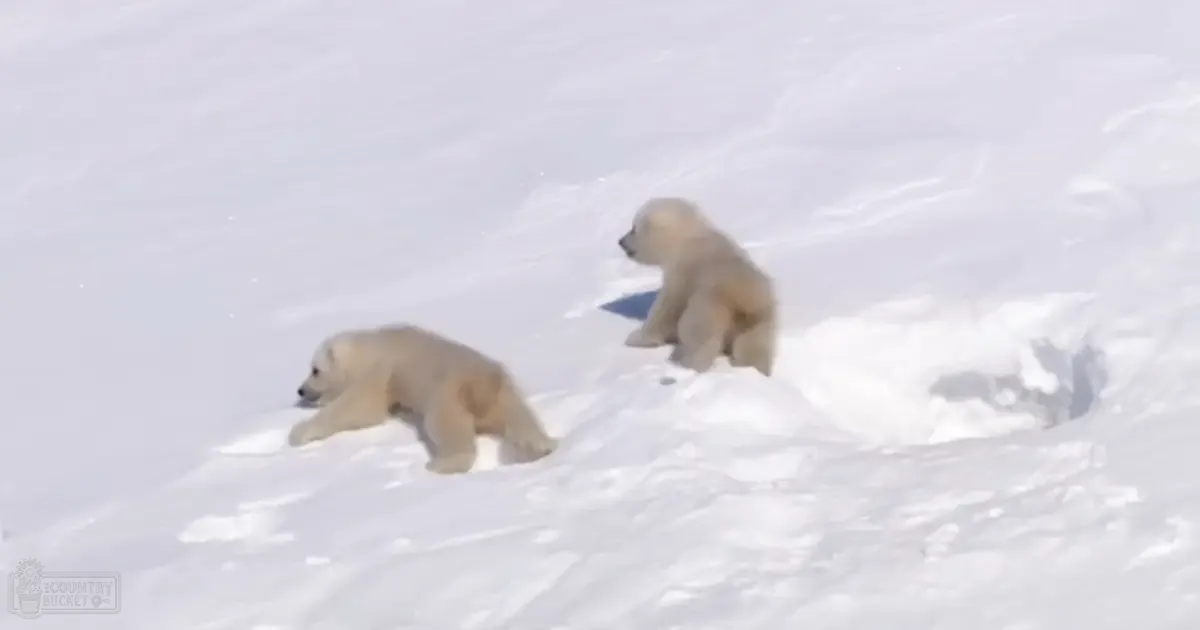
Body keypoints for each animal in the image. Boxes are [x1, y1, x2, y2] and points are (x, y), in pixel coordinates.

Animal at [288, 323, 559, 474]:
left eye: (315, 370)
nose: (300, 390)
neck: (372, 345)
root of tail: (482, 384)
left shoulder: (382, 369)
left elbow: (362, 407)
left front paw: (297, 433)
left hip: (445, 396)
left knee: (448, 430)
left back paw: (440, 465)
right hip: (506, 397)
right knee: (523, 420)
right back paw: (543, 447)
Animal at [616, 196, 778, 376]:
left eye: (633, 228)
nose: (620, 241)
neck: (687, 236)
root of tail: (744, 301)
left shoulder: (682, 271)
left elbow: (666, 309)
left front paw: (636, 337)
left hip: (709, 305)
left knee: (698, 334)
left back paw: (687, 362)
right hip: (760, 321)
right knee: (754, 347)